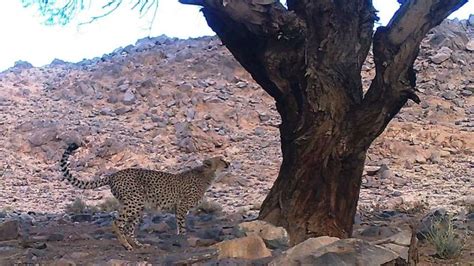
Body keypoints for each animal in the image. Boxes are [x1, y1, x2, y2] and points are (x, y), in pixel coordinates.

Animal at [59, 143, 230, 249]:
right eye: (221, 159)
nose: (229, 163)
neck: (207, 175)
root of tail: (113, 174)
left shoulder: (178, 208)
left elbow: (178, 225)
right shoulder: (181, 207)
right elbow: (181, 226)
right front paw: (184, 238)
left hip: (138, 206)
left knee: (129, 228)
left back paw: (138, 245)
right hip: (134, 202)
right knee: (117, 222)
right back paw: (126, 245)